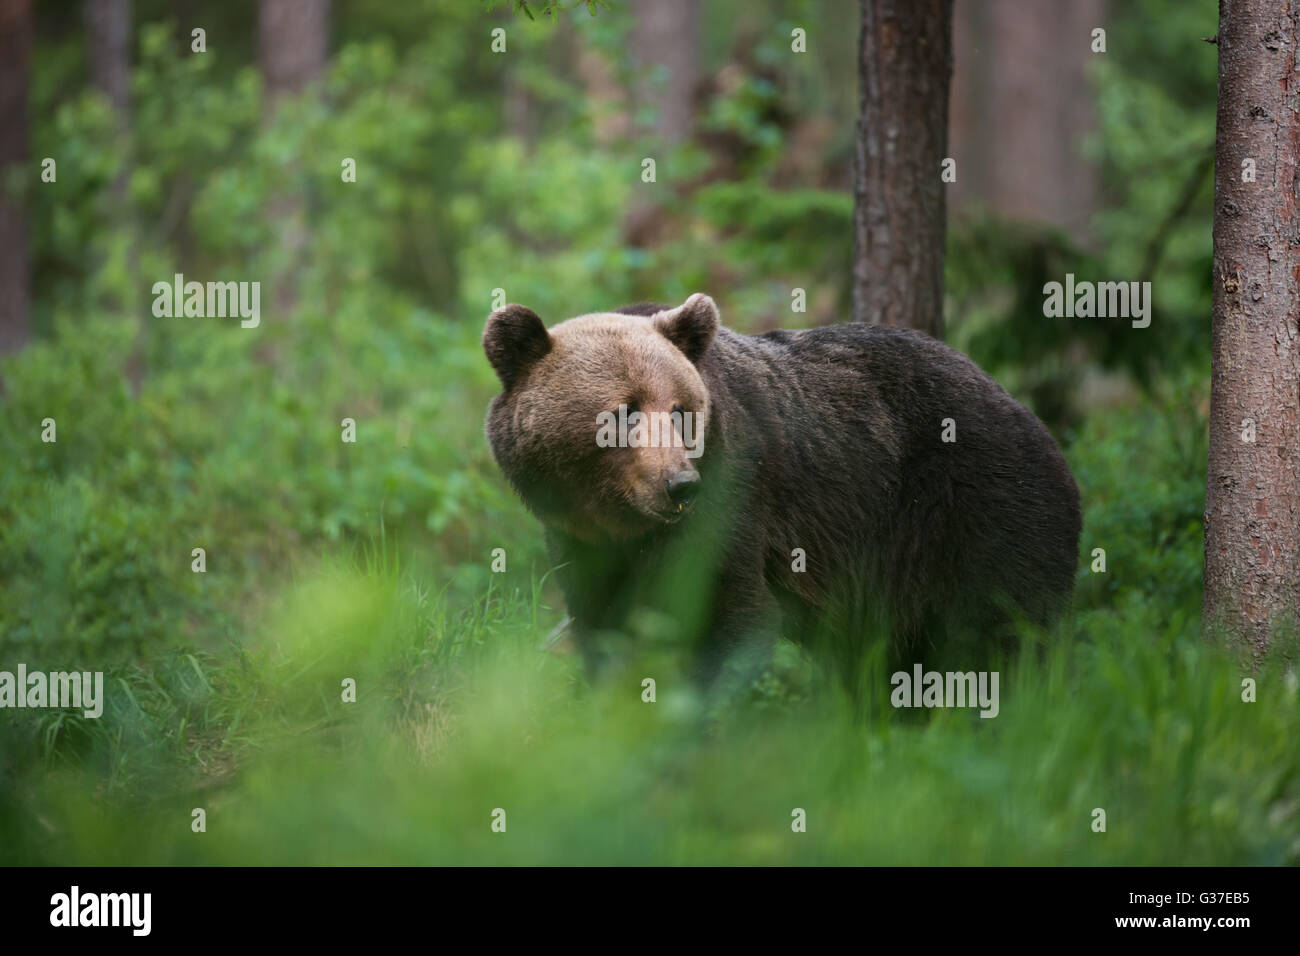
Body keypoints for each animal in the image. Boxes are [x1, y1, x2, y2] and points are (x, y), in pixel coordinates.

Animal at [483, 295, 1081, 697]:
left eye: (679, 411)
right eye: (624, 412)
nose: (680, 484)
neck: (619, 521)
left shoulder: (733, 503)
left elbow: (730, 619)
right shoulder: (583, 544)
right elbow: (604, 628)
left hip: (979, 511)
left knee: (1003, 633)